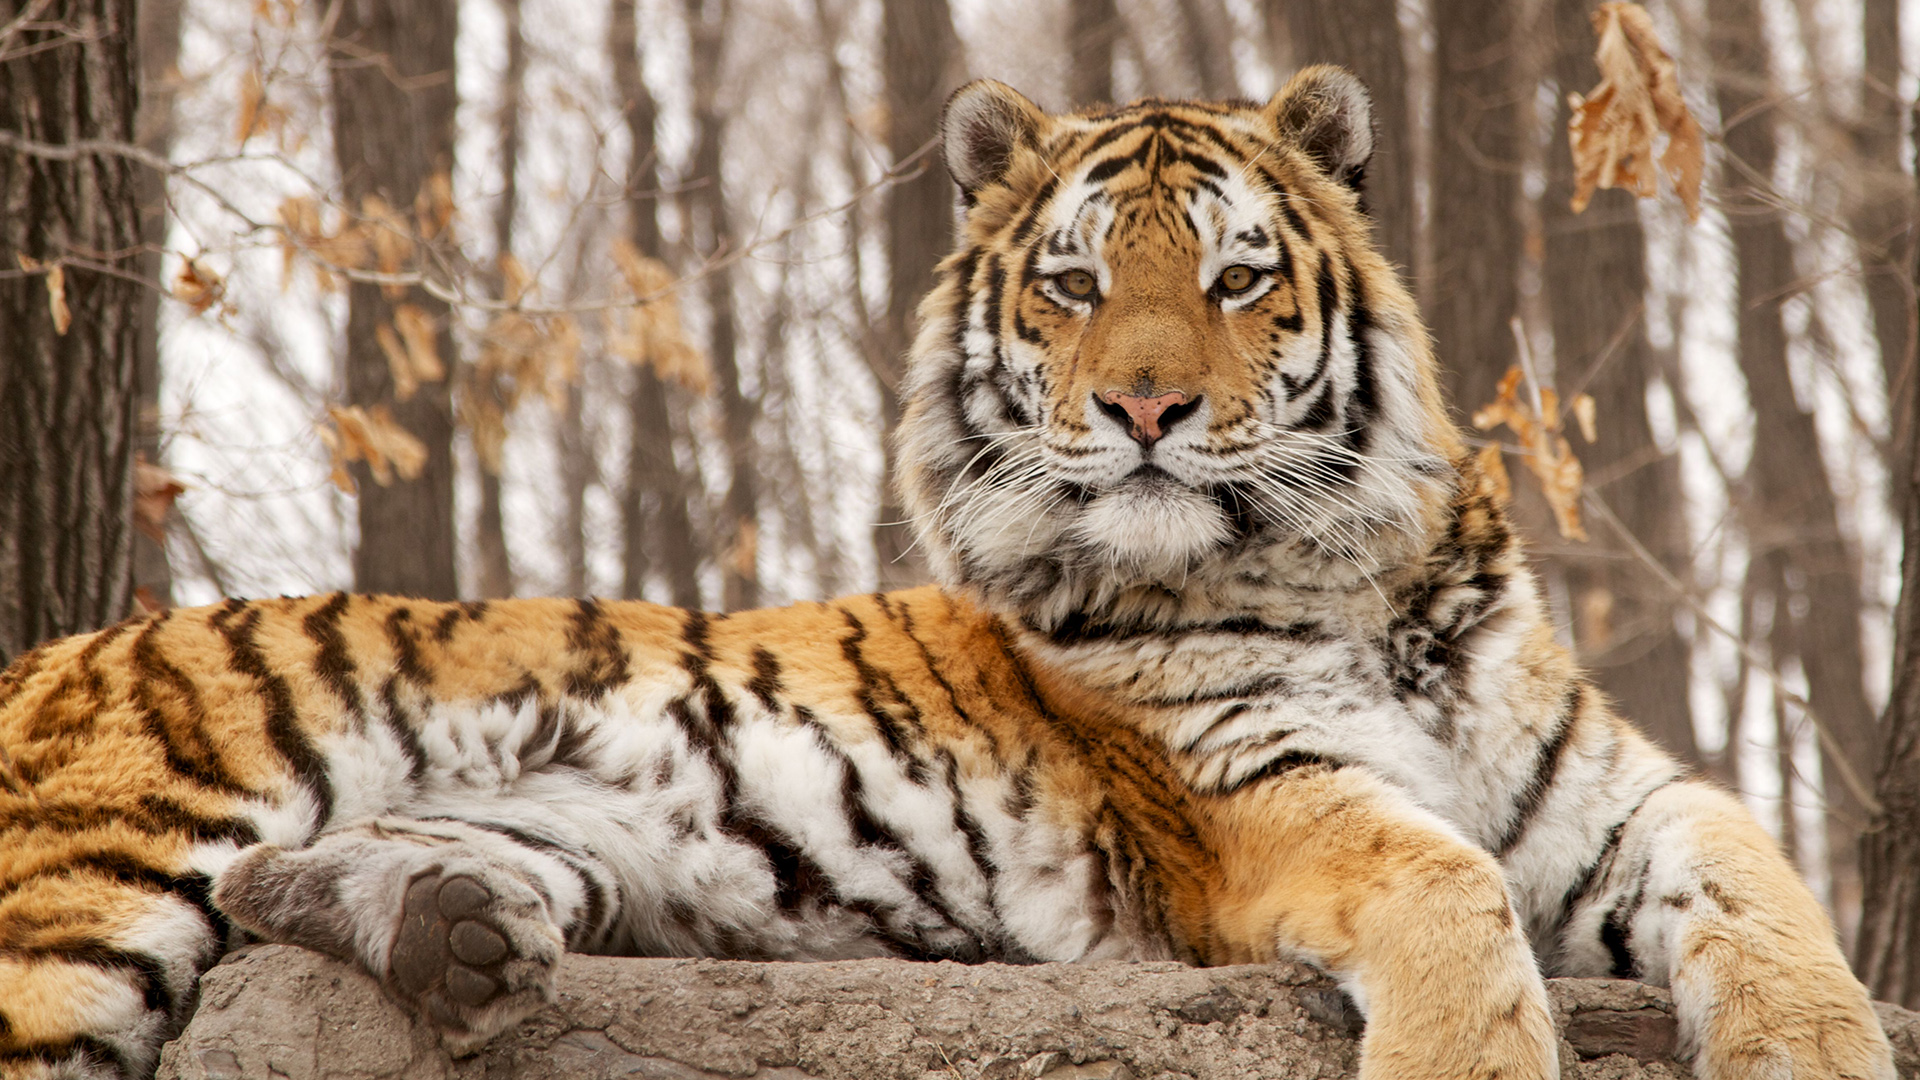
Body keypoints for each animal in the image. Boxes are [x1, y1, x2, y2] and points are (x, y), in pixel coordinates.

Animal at [0, 67, 1889, 1076]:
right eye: (1072, 282)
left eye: (1235, 277)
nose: (1144, 406)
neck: (1360, 583)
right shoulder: (1260, 803)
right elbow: (1453, 891)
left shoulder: (1616, 791)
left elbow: (1768, 887)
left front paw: (1816, 1048)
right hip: (93, 896)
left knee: (311, 888)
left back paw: (463, 939)